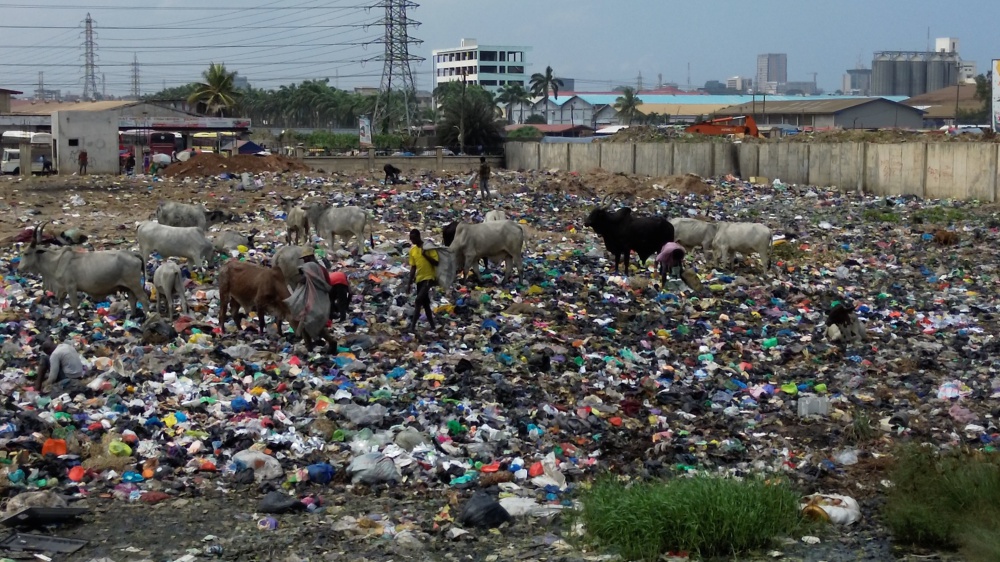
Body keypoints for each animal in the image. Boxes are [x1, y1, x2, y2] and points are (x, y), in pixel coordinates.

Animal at [19, 221, 150, 316]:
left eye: (26, 253)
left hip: (134, 284)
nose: (19, 268)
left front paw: (76, 317)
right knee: (132, 300)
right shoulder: (62, 288)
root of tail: (133, 254)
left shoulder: (71, 287)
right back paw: (132, 316)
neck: (55, 262)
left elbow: (73, 304)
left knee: (143, 299)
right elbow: (60, 302)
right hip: (128, 287)